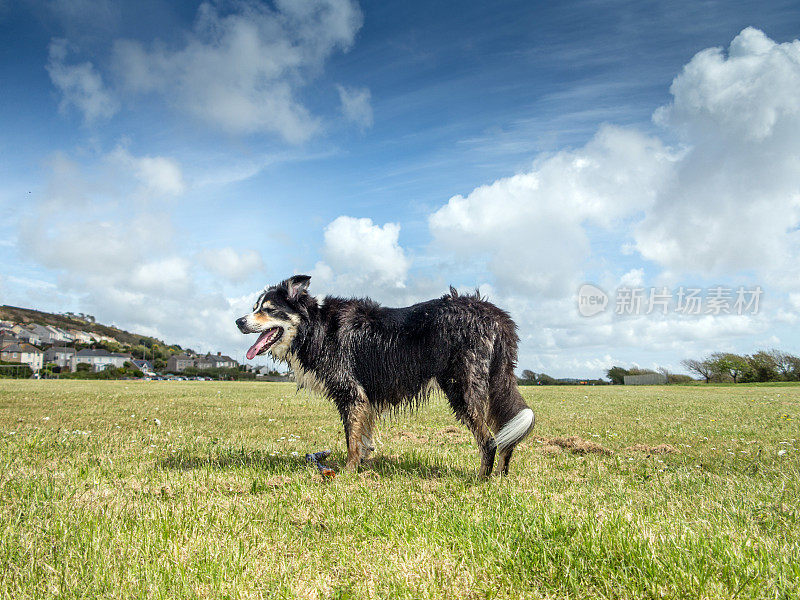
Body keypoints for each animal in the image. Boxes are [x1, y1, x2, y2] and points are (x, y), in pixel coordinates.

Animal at [238, 274, 536, 476]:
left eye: (268, 309)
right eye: (255, 308)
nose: (238, 321)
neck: (315, 326)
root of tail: (492, 313)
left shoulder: (351, 392)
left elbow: (351, 440)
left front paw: (347, 473)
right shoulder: (364, 398)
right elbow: (363, 439)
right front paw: (363, 465)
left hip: (461, 387)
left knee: (489, 441)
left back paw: (481, 480)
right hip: (492, 384)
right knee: (506, 437)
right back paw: (500, 476)